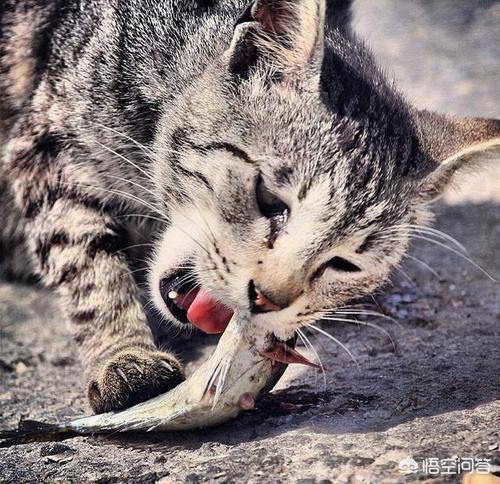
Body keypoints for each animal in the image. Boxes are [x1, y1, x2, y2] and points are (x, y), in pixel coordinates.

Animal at [0, 0, 498, 414]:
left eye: (344, 264)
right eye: (269, 201)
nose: (268, 298)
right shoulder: (46, 146)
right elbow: (86, 263)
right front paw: (122, 353)